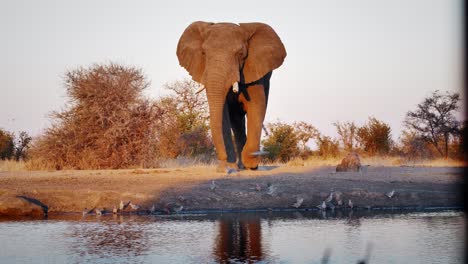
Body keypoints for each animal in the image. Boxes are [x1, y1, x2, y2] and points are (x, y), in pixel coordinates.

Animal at [176, 22, 286, 171]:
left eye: (240, 54)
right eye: (204, 53)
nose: (221, 158)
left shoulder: (253, 72)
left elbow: (256, 107)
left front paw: (251, 164)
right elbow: (222, 113)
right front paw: (227, 167)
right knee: (237, 121)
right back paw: (240, 166)